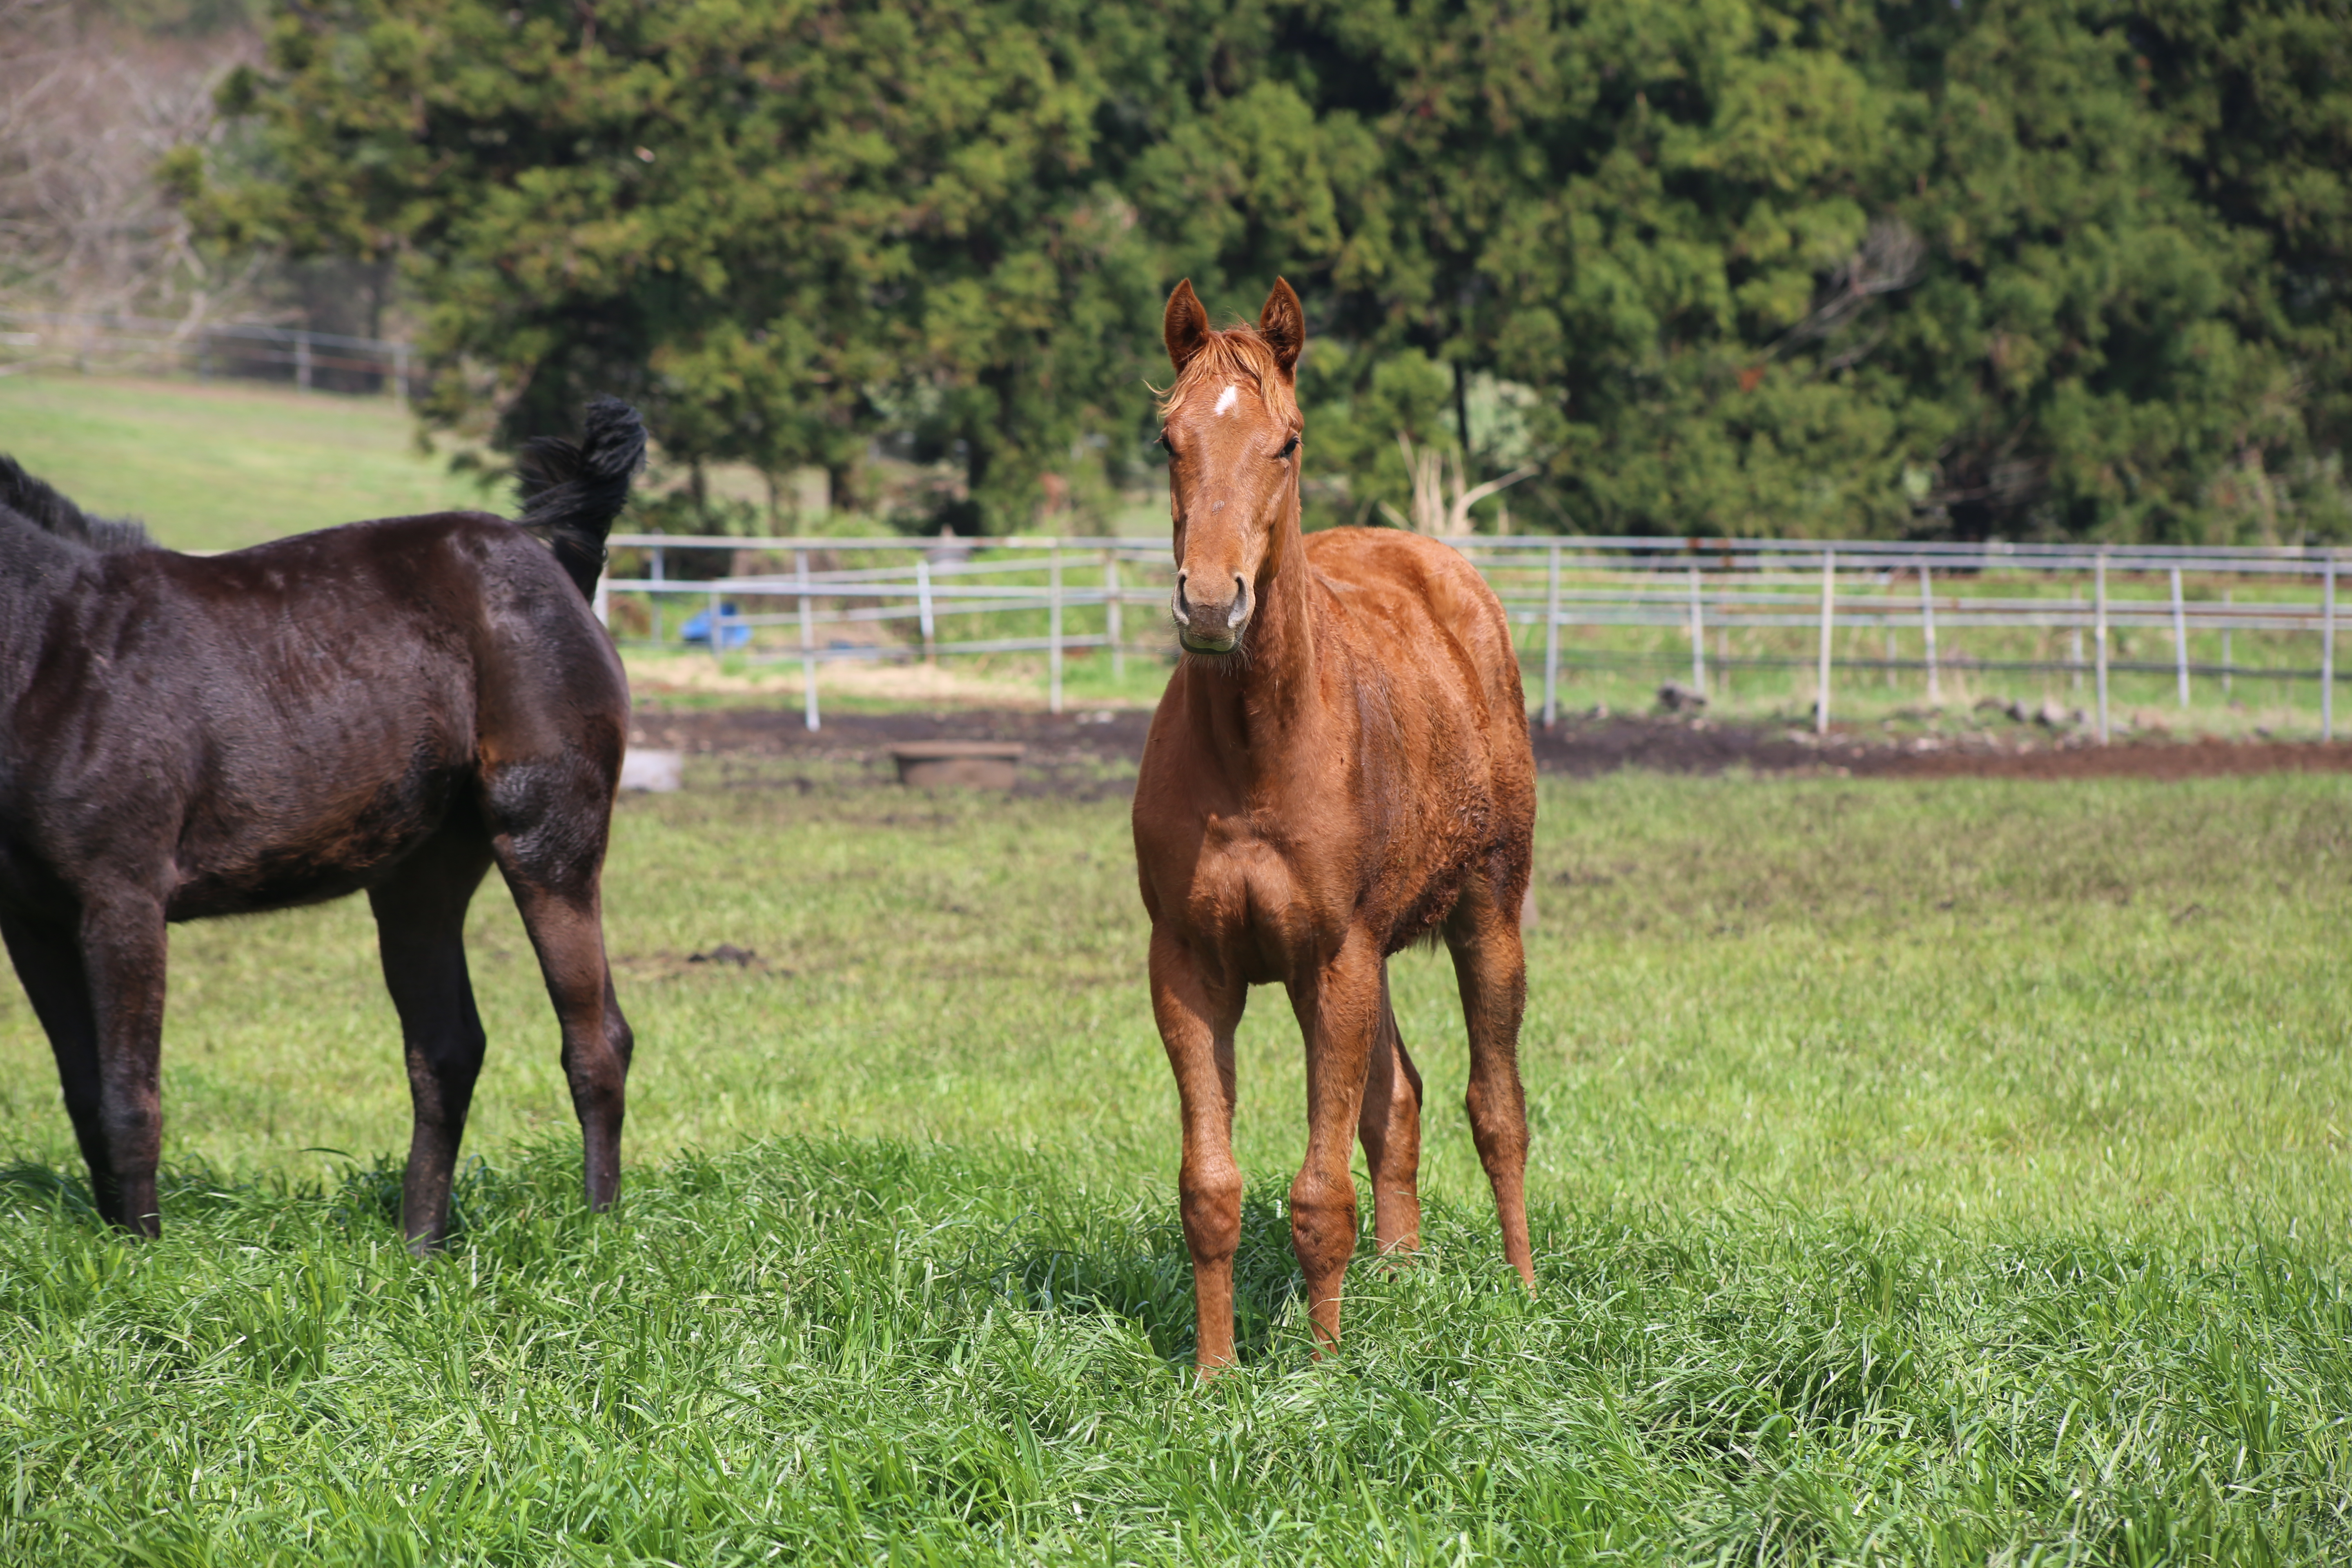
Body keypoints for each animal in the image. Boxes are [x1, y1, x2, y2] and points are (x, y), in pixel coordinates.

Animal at [2, 402, 644, 1250]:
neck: (52, 648)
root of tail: (560, 568)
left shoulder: (122, 898)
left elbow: (128, 1099)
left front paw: (143, 1259)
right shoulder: (31, 919)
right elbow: (83, 1094)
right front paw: (115, 1250)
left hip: (548, 841)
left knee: (596, 1042)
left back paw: (602, 1236)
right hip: (419, 881)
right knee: (446, 1050)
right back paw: (420, 1249)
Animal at [1129, 282, 1533, 1373]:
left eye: (1287, 441)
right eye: (1167, 439)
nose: (1210, 604)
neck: (1254, 755)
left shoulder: (1330, 960)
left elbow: (1319, 1197)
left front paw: (1320, 1373)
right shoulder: (1188, 967)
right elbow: (1210, 1188)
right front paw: (1216, 1373)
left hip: (1486, 914)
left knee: (1496, 1107)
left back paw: (1525, 1295)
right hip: (1378, 954)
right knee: (1399, 1105)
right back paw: (1399, 1281)